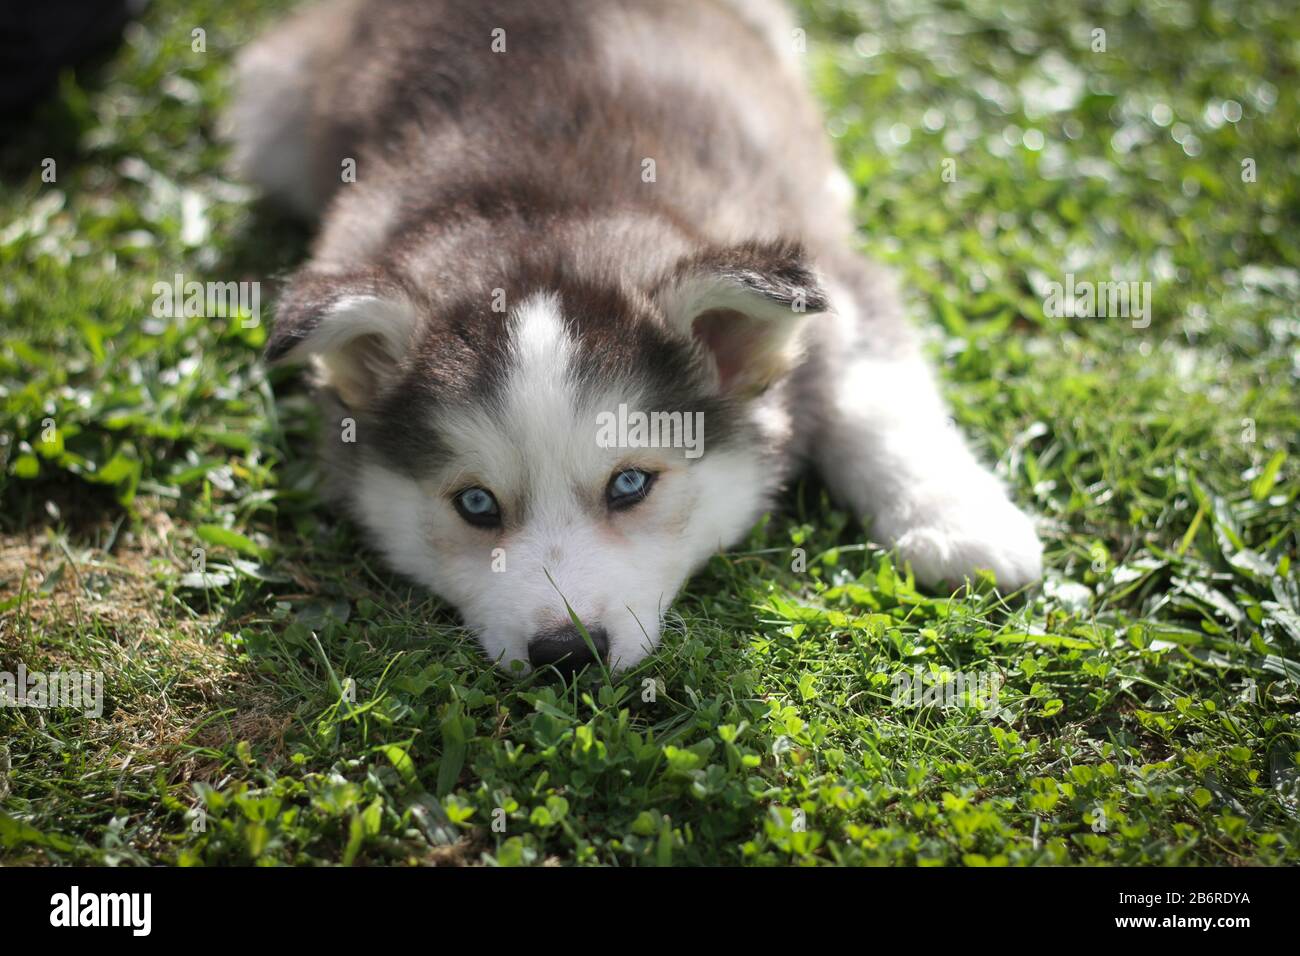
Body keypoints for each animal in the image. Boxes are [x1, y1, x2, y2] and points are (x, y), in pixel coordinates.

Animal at [228, 0, 1045, 676]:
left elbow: (880, 397)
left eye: (629, 485)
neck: (542, 209)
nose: (566, 654)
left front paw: (959, 523)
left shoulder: (834, 276)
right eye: (476, 505)